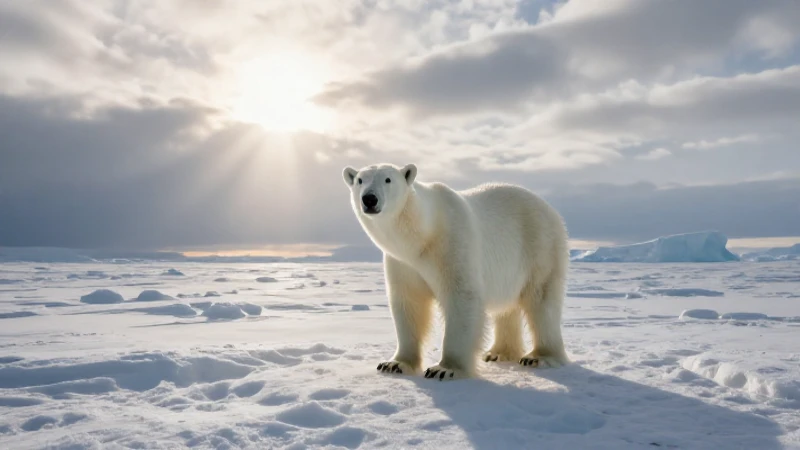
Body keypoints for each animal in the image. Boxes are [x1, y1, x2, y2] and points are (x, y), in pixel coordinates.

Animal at [342, 163, 570, 380]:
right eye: (360, 180)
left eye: (388, 179)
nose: (369, 199)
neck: (423, 234)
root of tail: (550, 210)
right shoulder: (403, 263)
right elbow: (409, 303)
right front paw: (395, 364)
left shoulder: (452, 243)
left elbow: (461, 296)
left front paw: (445, 369)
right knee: (507, 308)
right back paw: (498, 352)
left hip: (540, 246)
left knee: (541, 300)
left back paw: (539, 357)